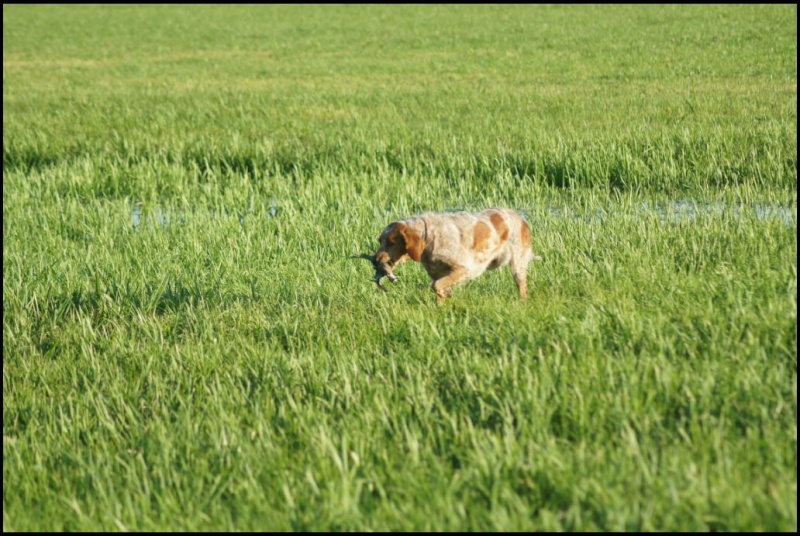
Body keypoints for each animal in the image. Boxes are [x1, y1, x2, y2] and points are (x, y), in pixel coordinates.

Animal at [360, 208, 540, 302]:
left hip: (517, 264)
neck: (430, 237)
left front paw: (446, 295)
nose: (375, 259)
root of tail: (521, 218)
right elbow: (438, 288)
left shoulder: (466, 269)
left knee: (523, 288)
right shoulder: (437, 274)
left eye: (391, 242)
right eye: (380, 240)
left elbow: (436, 286)